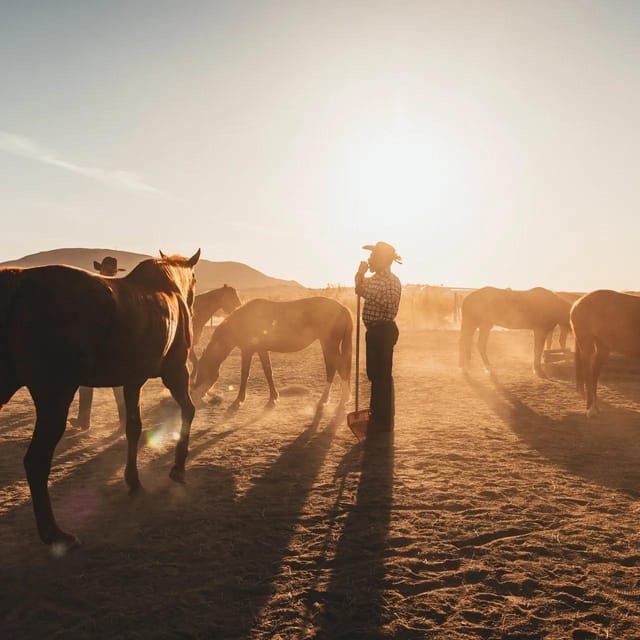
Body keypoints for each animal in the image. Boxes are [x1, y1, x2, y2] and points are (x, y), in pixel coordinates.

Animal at [0, 250, 200, 552]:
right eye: (196, 280)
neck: (168, 288)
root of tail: (19, 284)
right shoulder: (175, 372)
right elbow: (188, 410)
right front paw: (177, 469)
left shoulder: (132, 381)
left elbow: (133, 427)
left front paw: (133, 481)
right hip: (55, 396)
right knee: (36, 461)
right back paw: (54, 533)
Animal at [192, 296, 352, 410]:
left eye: (202, 371)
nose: (196, 397)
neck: (245, 320)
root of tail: (343, 308)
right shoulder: (262, 350)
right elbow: (268, 372)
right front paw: (273, 399)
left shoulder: (247, 351)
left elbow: (245, 374)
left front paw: (238, 401)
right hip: (327, 345)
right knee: (332, 369)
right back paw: (324, 401)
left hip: (329, 345)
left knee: (339, 368)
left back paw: (341, 401)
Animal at [572, 288, 640, 416]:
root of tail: (577, 303)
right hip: (587, 342)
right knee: (588, 373)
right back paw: (591, 409)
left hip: (602, 346)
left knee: (594, 374)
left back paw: (595, 406)